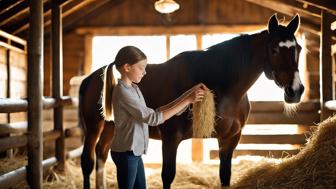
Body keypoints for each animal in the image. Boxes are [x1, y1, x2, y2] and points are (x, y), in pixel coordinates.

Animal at [79, 13, 304, 189]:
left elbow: (225, 176)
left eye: (299, 49)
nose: (295, 91)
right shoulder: (171, 139)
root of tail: (93, 77)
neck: (223, 87)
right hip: (94, 127)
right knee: (88, 162)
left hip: (111, 127)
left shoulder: (229, 139)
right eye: (274, 50)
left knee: (101, 156)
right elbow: (167, 176)